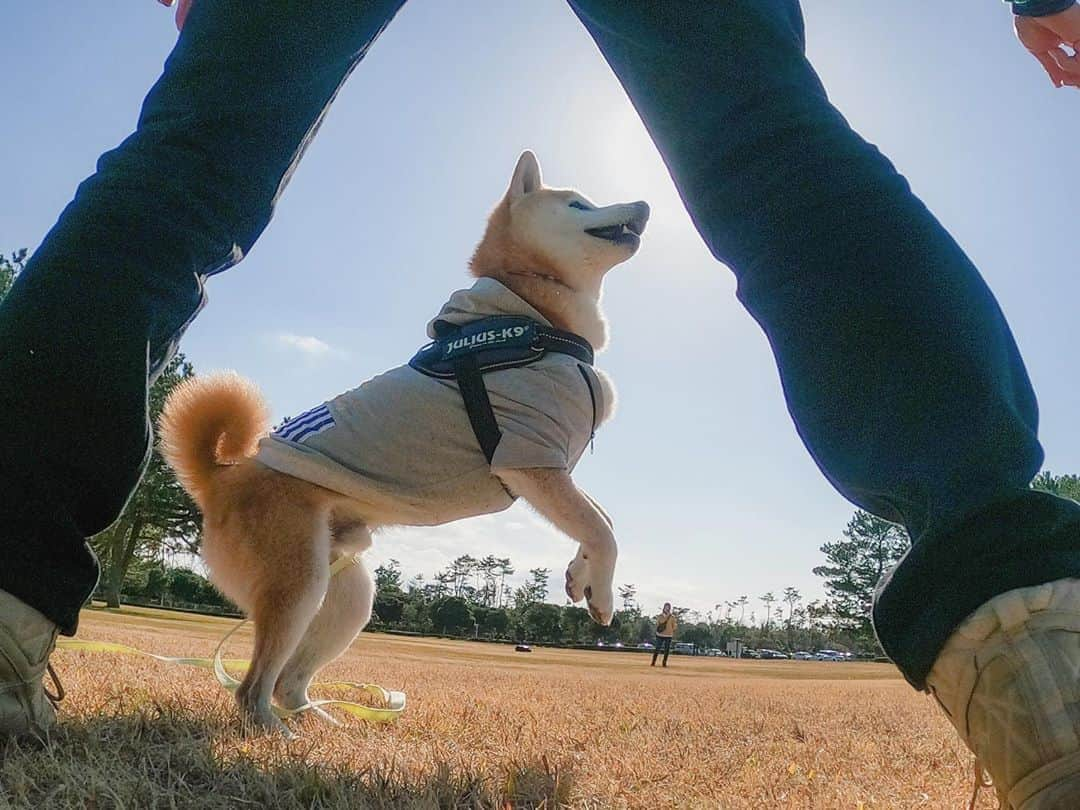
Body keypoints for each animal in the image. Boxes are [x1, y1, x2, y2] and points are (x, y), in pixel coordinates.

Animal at [159, 152, 648, 734]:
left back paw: (326, 723)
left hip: (346, 594)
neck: (532, 319)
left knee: (287, 681)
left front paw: (581, 578)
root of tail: (222, 478)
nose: (644, 204)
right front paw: (605, 596)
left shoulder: (553, 466)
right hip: (298, 584)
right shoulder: (529, 457)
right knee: (254, 686)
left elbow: (600, 521)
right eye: (579, 204)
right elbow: (604, 529)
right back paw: (274, 733)